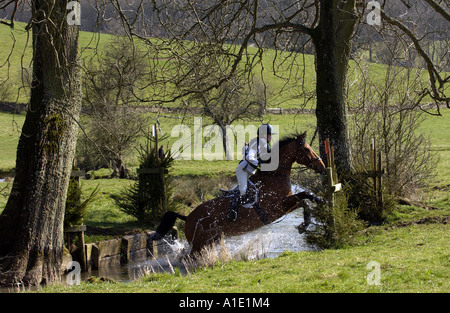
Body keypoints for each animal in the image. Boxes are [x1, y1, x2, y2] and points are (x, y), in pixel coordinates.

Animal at [151, 130, 324, 255]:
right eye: (307, 149)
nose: (322, 166)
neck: (276, 175)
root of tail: (187, 217)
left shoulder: (286, 203)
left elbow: (304, 198)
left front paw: (314, 211)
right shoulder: (277, 207)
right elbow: (303, 197)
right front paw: (309, 218)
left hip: (210, 241)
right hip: (199, 243)